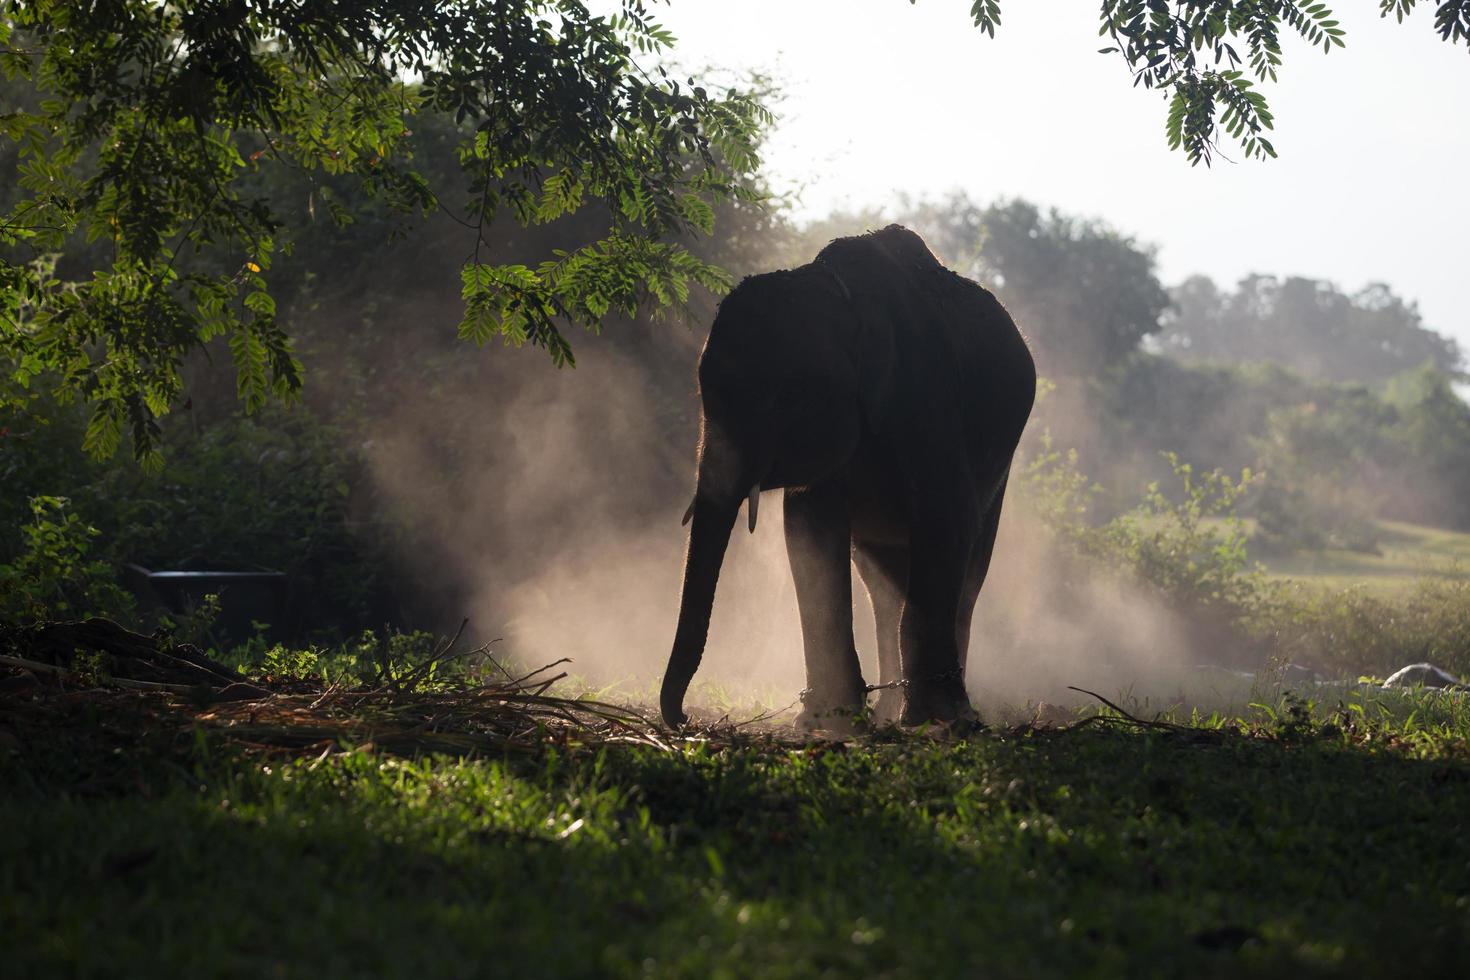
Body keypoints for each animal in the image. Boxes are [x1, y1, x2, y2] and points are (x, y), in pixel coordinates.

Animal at [658, 221, 1034, 728]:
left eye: (781, 400)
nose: (686, 720)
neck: (839, 297)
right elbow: (809, 534)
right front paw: (827, 721)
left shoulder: (928, 395)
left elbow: (947, 519)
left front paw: (931, 720)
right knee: (883, 585)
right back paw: (890, 711)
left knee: (967, 573)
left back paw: (943, 713)